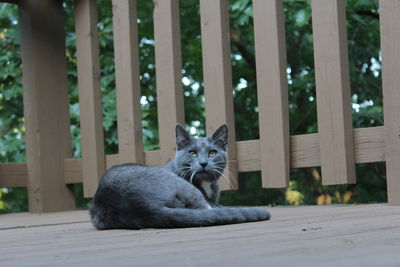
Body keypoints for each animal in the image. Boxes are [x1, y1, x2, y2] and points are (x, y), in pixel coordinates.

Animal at [89, 124, 270, 230]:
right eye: (192, 152)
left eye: (212, 153)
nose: (203, 163)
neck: (205, 184)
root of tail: (142, 206)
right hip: (184, 188)